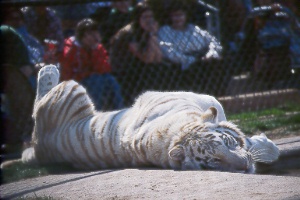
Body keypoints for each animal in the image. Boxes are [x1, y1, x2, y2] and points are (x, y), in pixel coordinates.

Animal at [2, 65, 280, 173]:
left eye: (226, 144)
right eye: (213, 161)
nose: (244, 167)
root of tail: (39, 148)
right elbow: (248, 141)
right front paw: (267, 146)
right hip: (71, 89)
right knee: (38, 102)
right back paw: (47, 69)